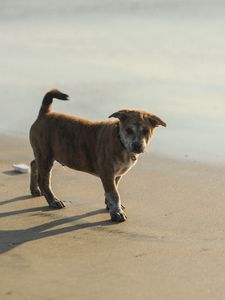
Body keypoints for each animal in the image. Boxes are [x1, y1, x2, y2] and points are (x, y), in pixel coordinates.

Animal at [29, 88, 166, 220]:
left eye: (146, 131)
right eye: (128, 130)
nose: (137, 145)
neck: (120, 141)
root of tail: (45, 113)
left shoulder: (116, 175)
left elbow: (113, 190)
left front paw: (110, 206)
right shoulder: (107, 172)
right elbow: (114, 194)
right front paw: (117, 212)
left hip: (43, 154)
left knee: (34, 163)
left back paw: (35, 189)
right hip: (45, 156)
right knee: (44, 181)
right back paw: (53, 201)